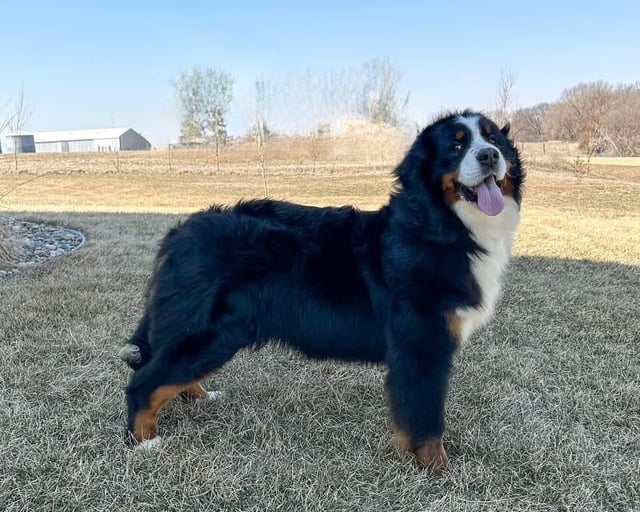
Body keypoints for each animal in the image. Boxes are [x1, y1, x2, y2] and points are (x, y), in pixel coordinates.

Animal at [117, 110, 524, 470]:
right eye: (456, 146)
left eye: (493, 139)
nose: (489, 156)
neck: (440, 225)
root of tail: (180, 232)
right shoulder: (422, 346)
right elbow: (426, 418)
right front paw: (438, 469)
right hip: (208, 332)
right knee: (144, 381)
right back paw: (144, 442)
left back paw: (200, 397)